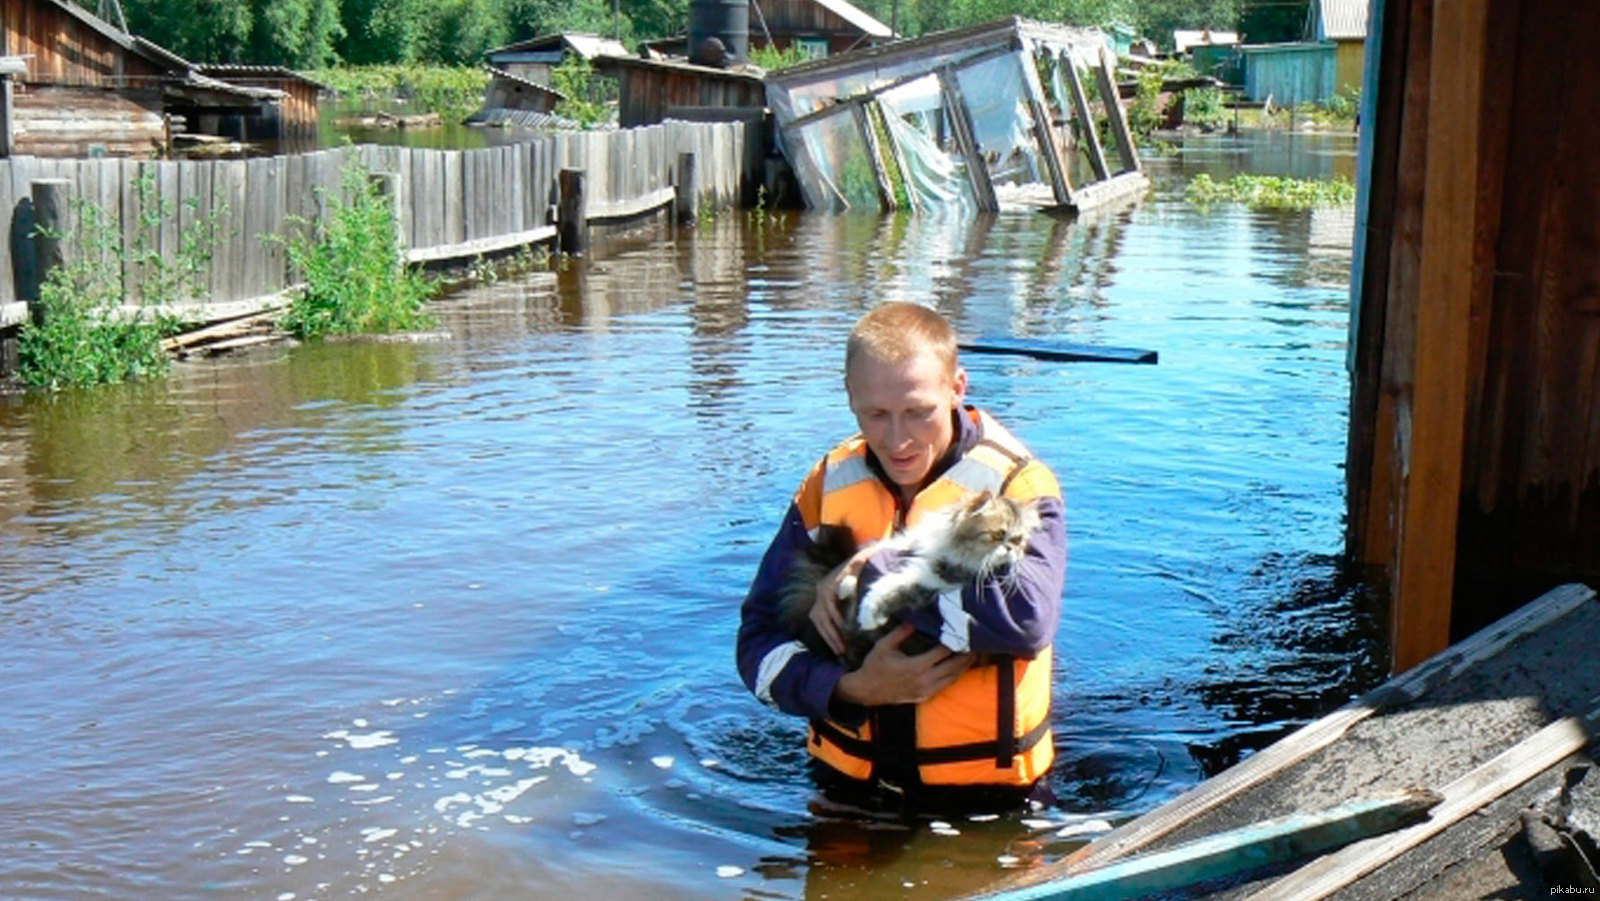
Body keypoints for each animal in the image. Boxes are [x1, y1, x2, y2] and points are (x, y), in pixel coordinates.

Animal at [780, 492, 1043, 668]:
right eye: (998, 534)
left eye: (1018, 539)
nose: (1010, 549)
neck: (952, 545)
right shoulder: (913, 542)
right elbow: (879, 550)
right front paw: (845, 583)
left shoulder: (936, 579)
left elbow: (889, 586)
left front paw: (868, 616)